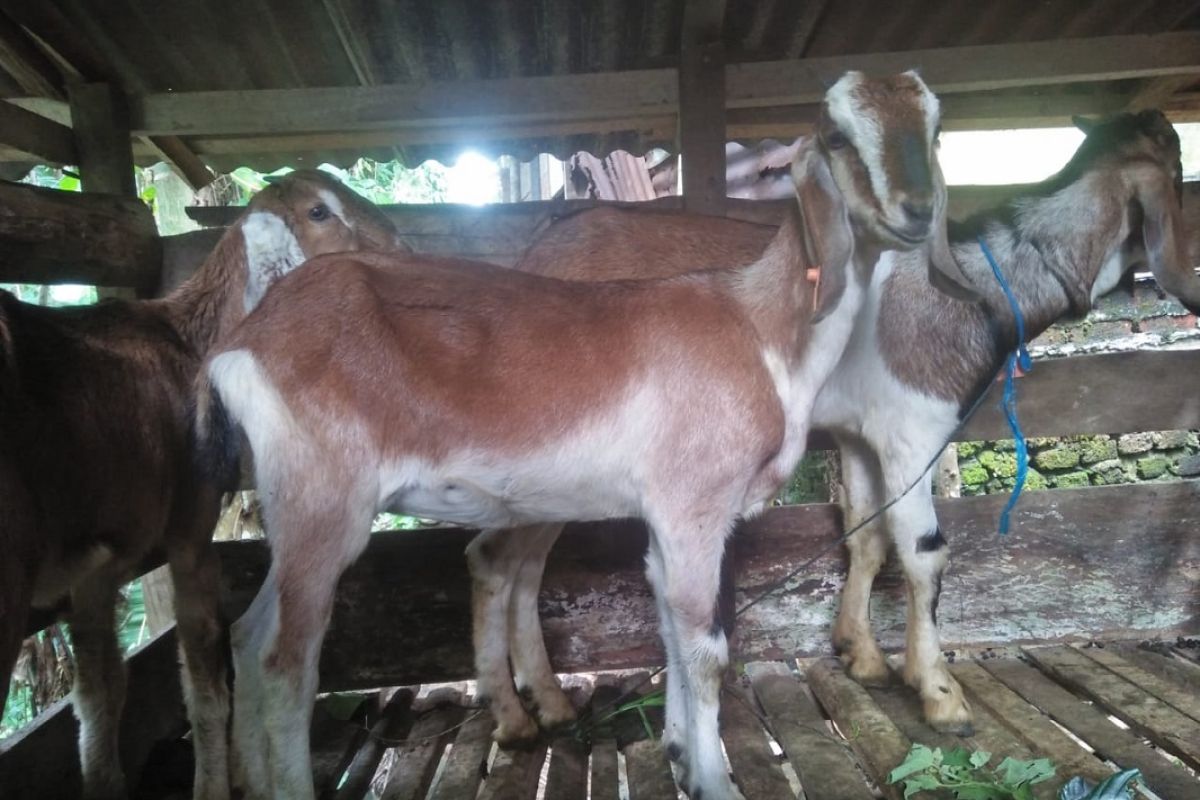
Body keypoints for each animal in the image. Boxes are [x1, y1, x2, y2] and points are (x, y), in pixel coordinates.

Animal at [192, 70, 969, 800]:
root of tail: (249, 339)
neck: (757, 329)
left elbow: (670, 628)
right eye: (837, 134)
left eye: (935, 128)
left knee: (247, 640)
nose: (914, 211)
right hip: (323, 507)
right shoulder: (693, 509)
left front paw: (681, 755)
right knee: (283, 661)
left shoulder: (663, 520)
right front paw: (713, 780)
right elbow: (705, 645)